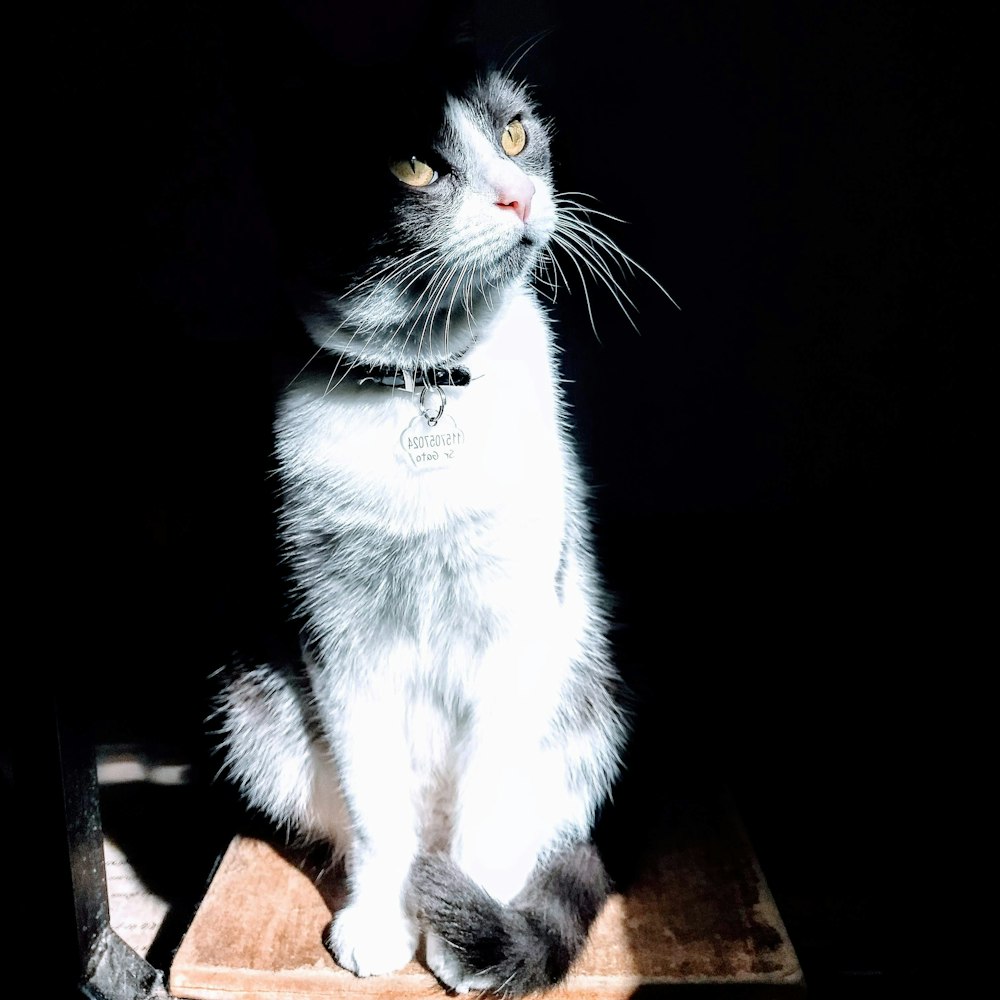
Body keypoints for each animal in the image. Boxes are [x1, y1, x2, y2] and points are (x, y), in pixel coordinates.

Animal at [213, 54, 664, 992]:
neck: (425, 379)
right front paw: (384, 923)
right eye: (413, 165)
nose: (516, 197)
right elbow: (377, 812)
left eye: (515, 134)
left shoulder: (515, 623)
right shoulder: (336, 638)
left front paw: (468, 927)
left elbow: (486, 809)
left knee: (537, 818)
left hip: (587, 702)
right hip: (256, 706)